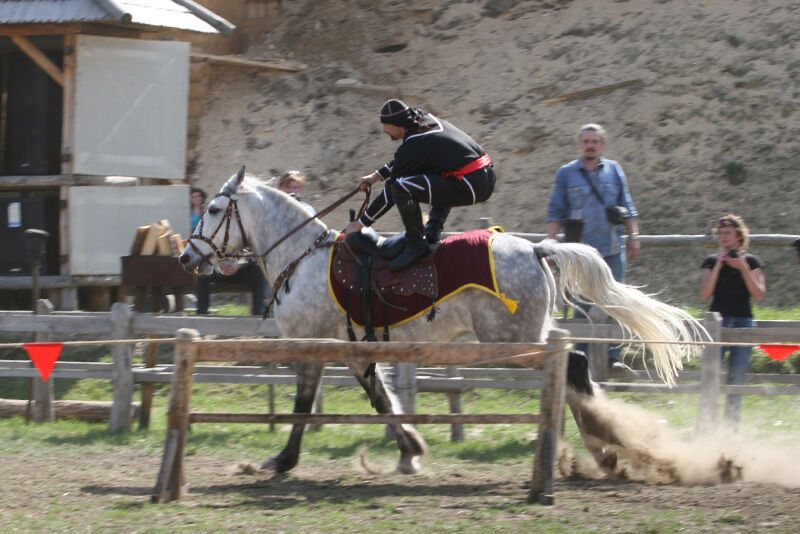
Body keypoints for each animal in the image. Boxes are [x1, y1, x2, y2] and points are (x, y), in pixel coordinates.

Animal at [180, 169, 700, 478]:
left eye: (213, 210)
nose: (187, 257)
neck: (300, 256)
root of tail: (535, 247)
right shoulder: (356, 351)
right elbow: (383, 400)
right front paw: (410, 449)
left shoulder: (315, 347)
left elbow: (304, 406)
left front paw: (284, 460)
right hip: (523, 337)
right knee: (570, 372)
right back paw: (604, 451)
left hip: (511, 341)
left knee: (570, 366)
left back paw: (607, 450)